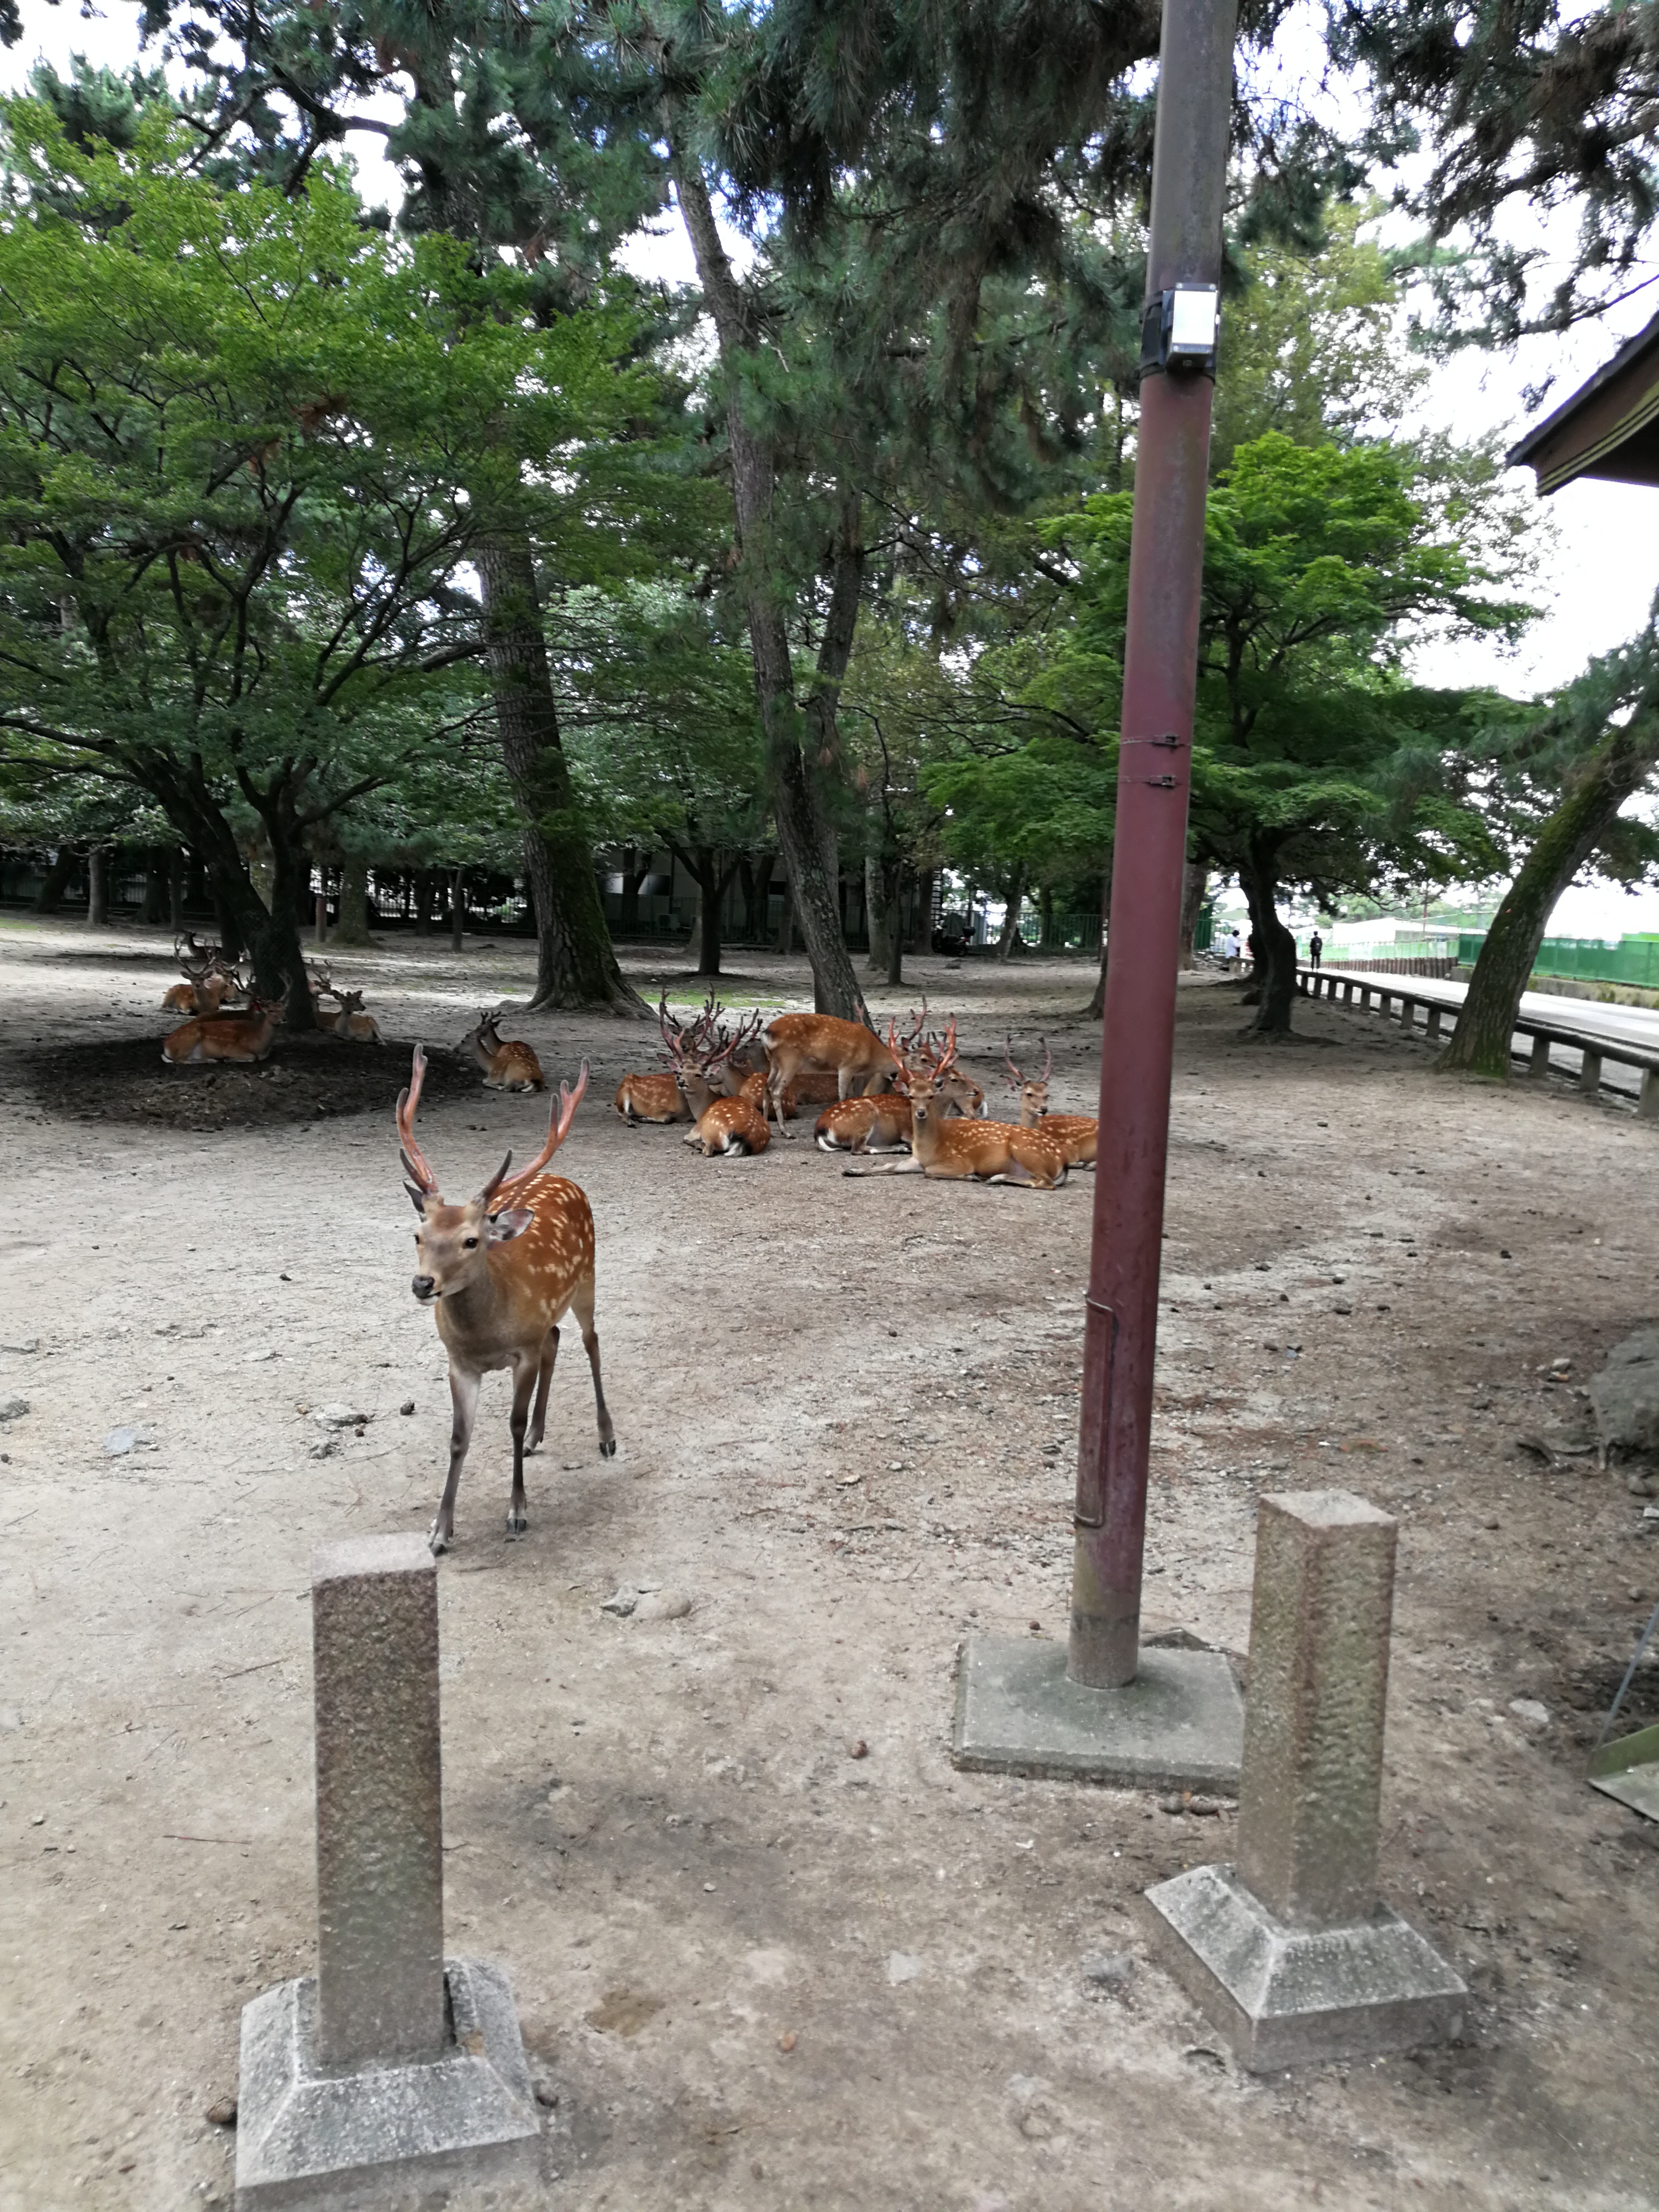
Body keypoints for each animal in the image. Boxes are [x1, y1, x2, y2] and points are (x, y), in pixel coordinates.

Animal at [162, 989, 289, 1066]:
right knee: (179, 1060)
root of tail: (166, 1045)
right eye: (271, 1010)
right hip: (191, 1037)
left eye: (284, 1009)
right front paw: (228, 1059)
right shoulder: (231, 1048)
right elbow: (253, 1057)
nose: (284, 1019)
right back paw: (213, 1060)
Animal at [397, 1043, 614, 1553]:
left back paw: (606, 1436)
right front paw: (439, 1531)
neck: (487, 1337)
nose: (423, 1284)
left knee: (591, 1341)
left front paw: (517, 1512)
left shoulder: (523, 1352)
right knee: (556, 1338)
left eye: (471, 1241)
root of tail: (565, 1179)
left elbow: (510, 1425)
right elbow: (459, 1438)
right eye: (418, 1235)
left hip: (588, 1279)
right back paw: (538, 1435)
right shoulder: (459, 1362)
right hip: (551, 1314)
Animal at [844, 1022, 1067, 1187]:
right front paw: (852, 1170)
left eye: (931, 1095)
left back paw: (996, 1177)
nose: (921, 1113)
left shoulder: (958, 1161)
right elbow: (888, 1165)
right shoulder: (914, 1157)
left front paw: (972, 1176)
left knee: (1046, 1182)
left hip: (1026, 1153)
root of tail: (1062, 1161)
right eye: (912, 1096)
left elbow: (930, 1171)